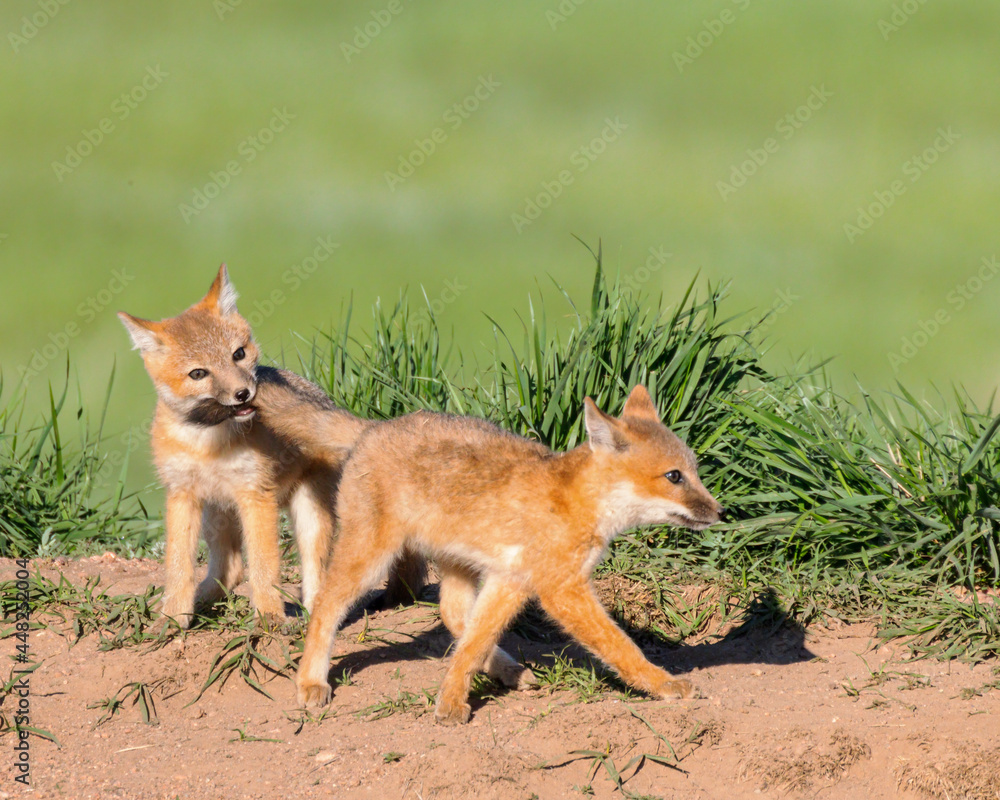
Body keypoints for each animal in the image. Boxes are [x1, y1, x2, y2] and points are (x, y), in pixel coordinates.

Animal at [118, 265, 423, 627]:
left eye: (238, 354)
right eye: (198, 374)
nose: (243, 394)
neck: (208, 446)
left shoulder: (256, 495)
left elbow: (264, 567)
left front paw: (268, 620)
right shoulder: (181, 495)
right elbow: (178, 568)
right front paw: (173, 618)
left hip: (308, 516)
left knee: (317, 576)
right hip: (216, 515)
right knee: (231, 570)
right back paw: (203, 600)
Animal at [254, 384, 724, 724]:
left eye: (695, 472)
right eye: (674, 477)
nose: (720, 512)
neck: (575, 502)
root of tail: (374, 427)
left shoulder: (510, 581)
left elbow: (473, 642)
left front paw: (450, 698)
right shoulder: (562, 590)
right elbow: (620, 647)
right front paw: (663, 684)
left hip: (459, 567)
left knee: (455, 618)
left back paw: (507, 670)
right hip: (370, 562)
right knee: (324, 606)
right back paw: (310, 680)